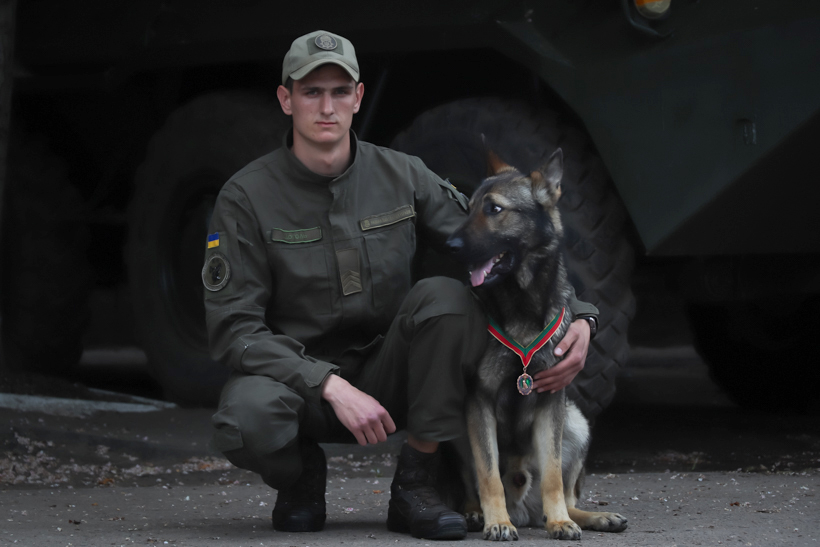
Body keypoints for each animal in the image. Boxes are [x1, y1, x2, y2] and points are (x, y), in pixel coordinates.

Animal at [446, 151, 624, 544]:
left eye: (494, 209)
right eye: (469, 208)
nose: (450, 246)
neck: (522, 305)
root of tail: (523, 509)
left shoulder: (550, 401)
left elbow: (554, 477)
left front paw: (560, 521)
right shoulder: (479, 401)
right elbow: (488, 474)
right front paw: (496, 521)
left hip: (576, 424)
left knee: (561, 493)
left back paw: (586, 516)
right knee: (471, 482)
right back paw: (474, 513)